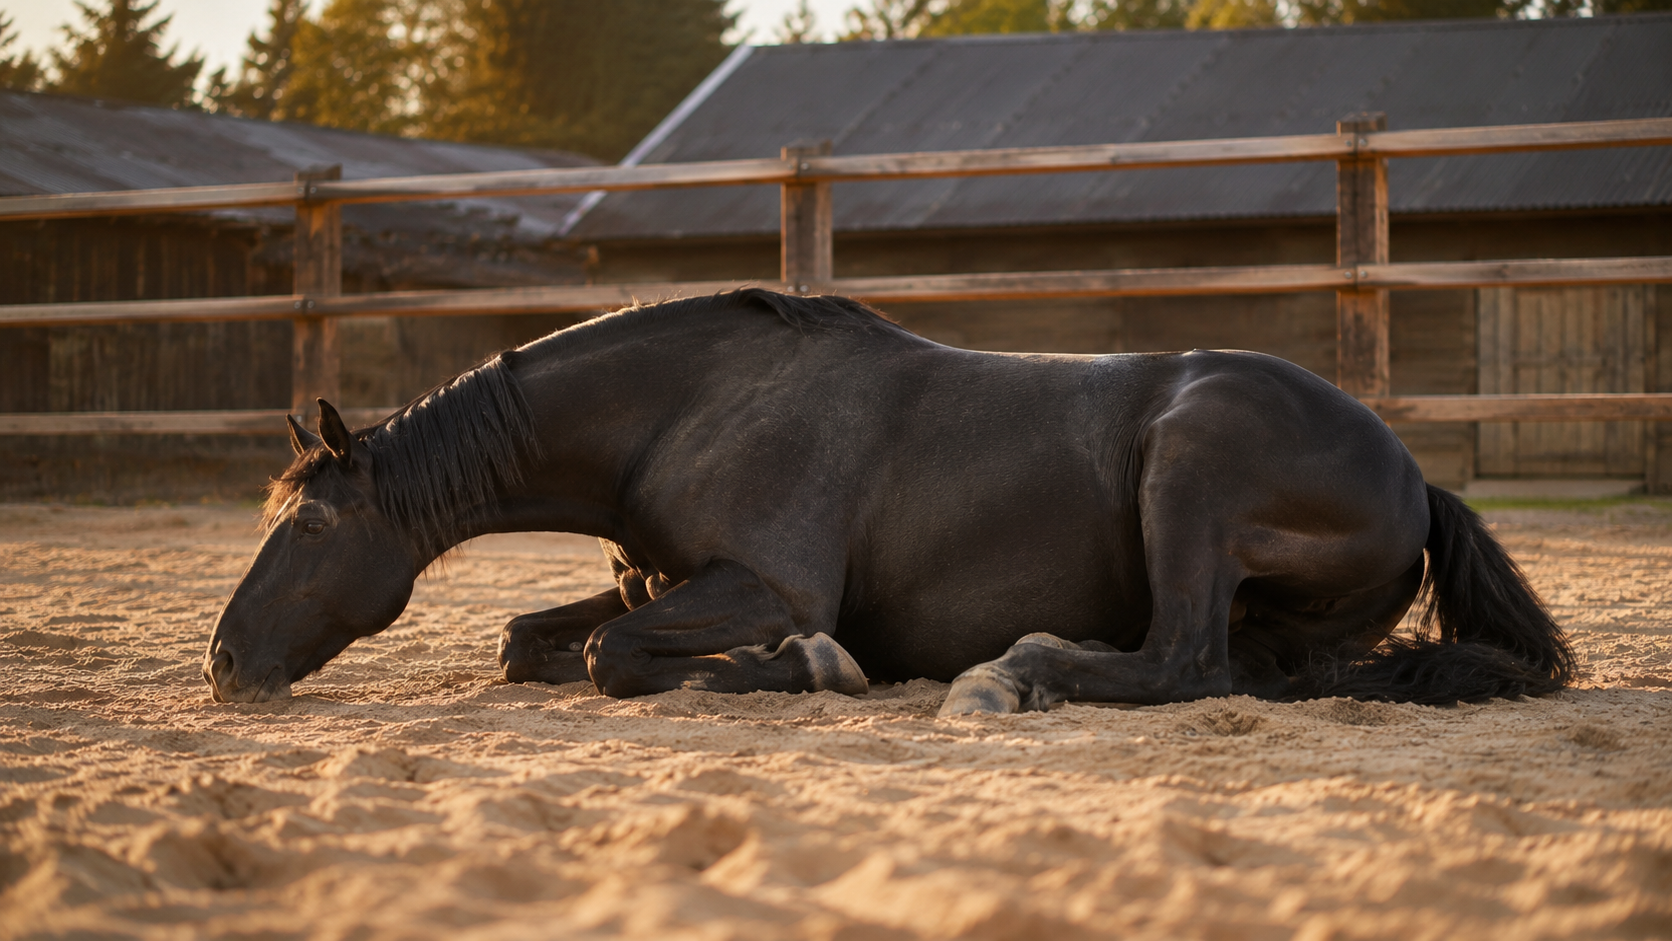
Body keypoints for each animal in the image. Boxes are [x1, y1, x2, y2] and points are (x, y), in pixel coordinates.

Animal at [203, 288, 1574, 714]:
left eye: (311, 525)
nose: (223, 662)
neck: (683, 404)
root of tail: (1413, 476)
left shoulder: (764, 583)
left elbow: (612, 654)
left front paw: (813, 666)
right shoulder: (661, 576)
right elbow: (530, 638)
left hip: (1188, 465)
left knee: (1181, 662)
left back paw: (1008, 673)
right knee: (1258, 667)